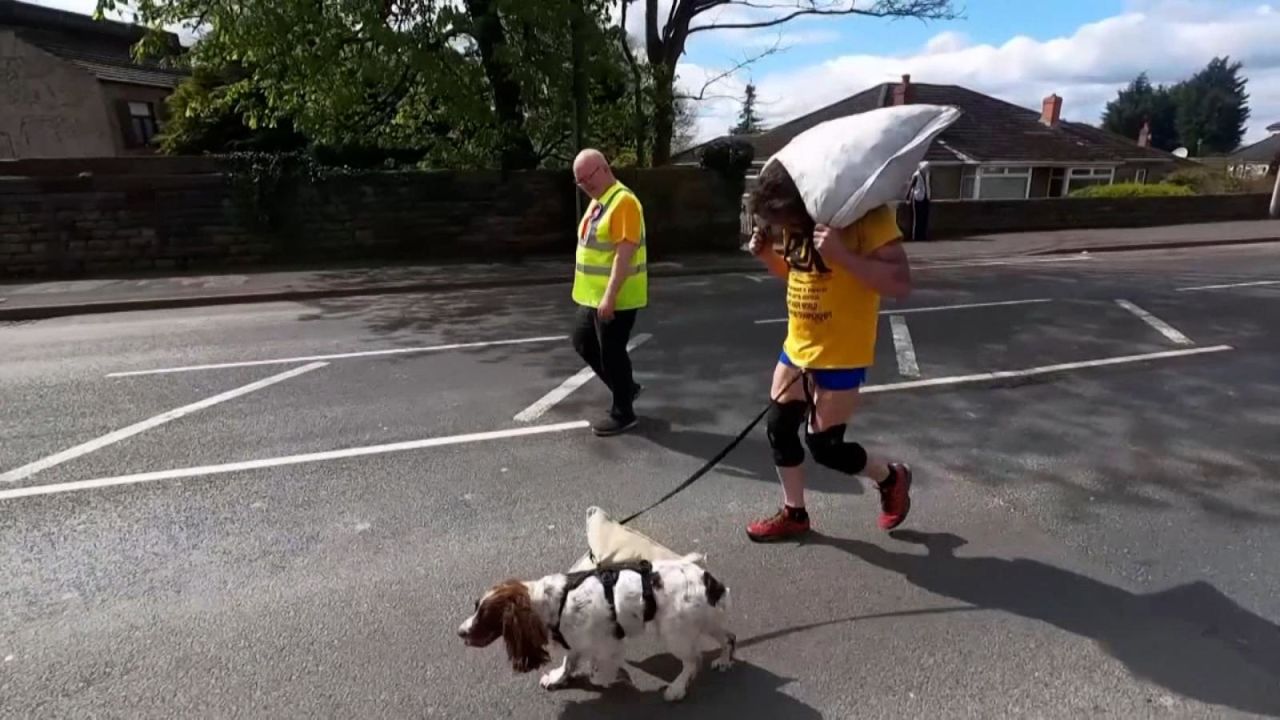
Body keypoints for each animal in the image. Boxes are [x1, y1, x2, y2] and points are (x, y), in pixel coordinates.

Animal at [460, 550, 742, 696]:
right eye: (475, 607)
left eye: (486, 615)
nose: (460, 632)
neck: (550, 602)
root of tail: (707, 579)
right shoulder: (575, 641)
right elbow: (569, 662)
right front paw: (558, 678)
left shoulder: (609, 643)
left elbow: (598, 673)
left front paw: (611, 677)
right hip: (704, 620)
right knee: (729, 637)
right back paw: (724, 661)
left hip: (674, 632)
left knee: (693, 661)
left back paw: (676, 689)